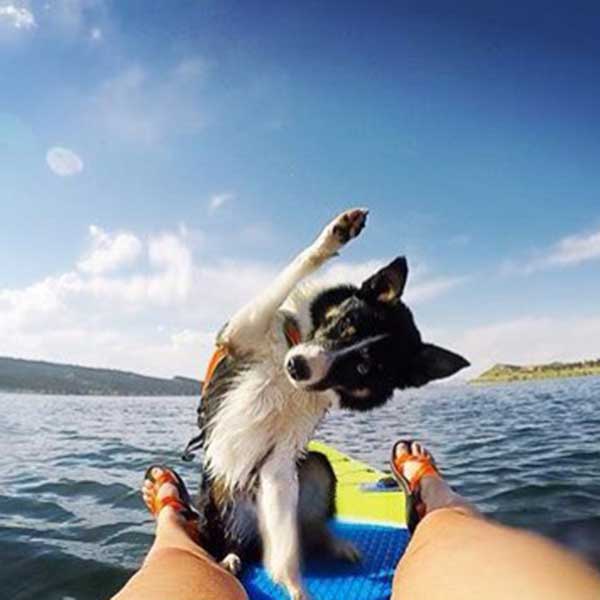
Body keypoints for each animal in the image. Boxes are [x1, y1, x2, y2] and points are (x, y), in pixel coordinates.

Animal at [190, 209, 472, 596]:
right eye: (343, 323)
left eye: (363, 367)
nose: (296, 366)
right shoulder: (239, 332)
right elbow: (294, 269)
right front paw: (336, 234)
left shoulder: (278, 465)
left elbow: (286, 555)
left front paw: (295, 587)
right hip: (215, 500)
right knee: (226, 542)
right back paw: (230, 558)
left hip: (315, 468)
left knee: (302, 533)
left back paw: (334, 545)